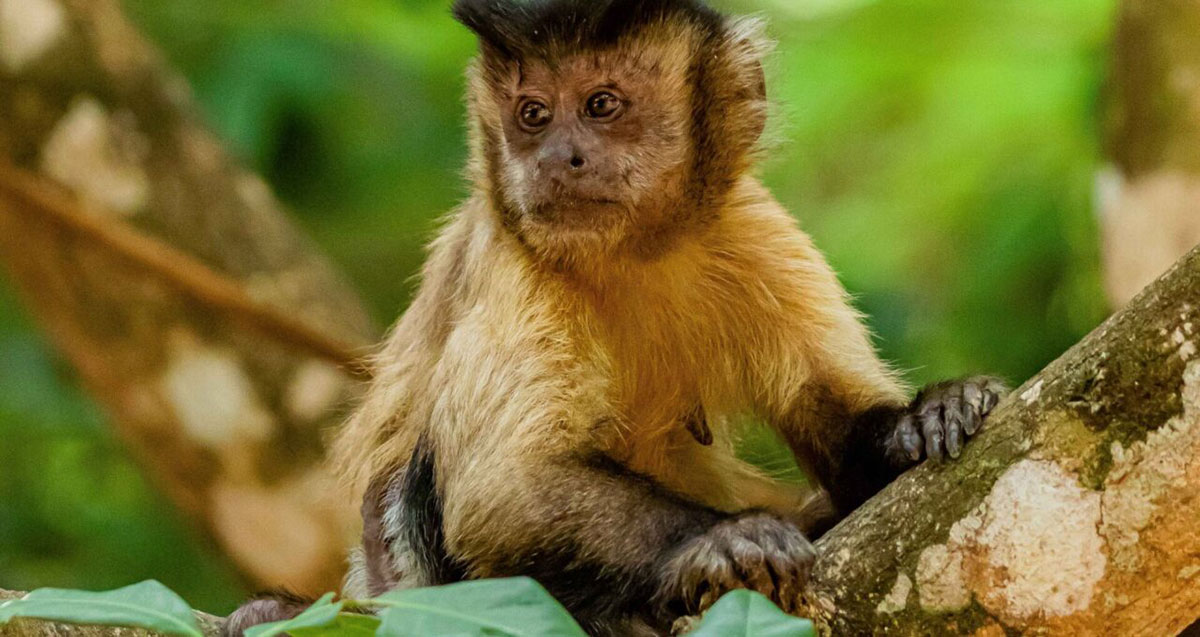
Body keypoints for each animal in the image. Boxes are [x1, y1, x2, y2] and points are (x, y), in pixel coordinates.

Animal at [223, 0, 1007, 635]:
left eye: (602, 104)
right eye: (533, 115)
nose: (557, 158)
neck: (635, 255)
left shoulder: (755, 229)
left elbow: (839, 437)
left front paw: (921, 421)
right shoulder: (517, 266)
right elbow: (503, 490)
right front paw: (721, 541)